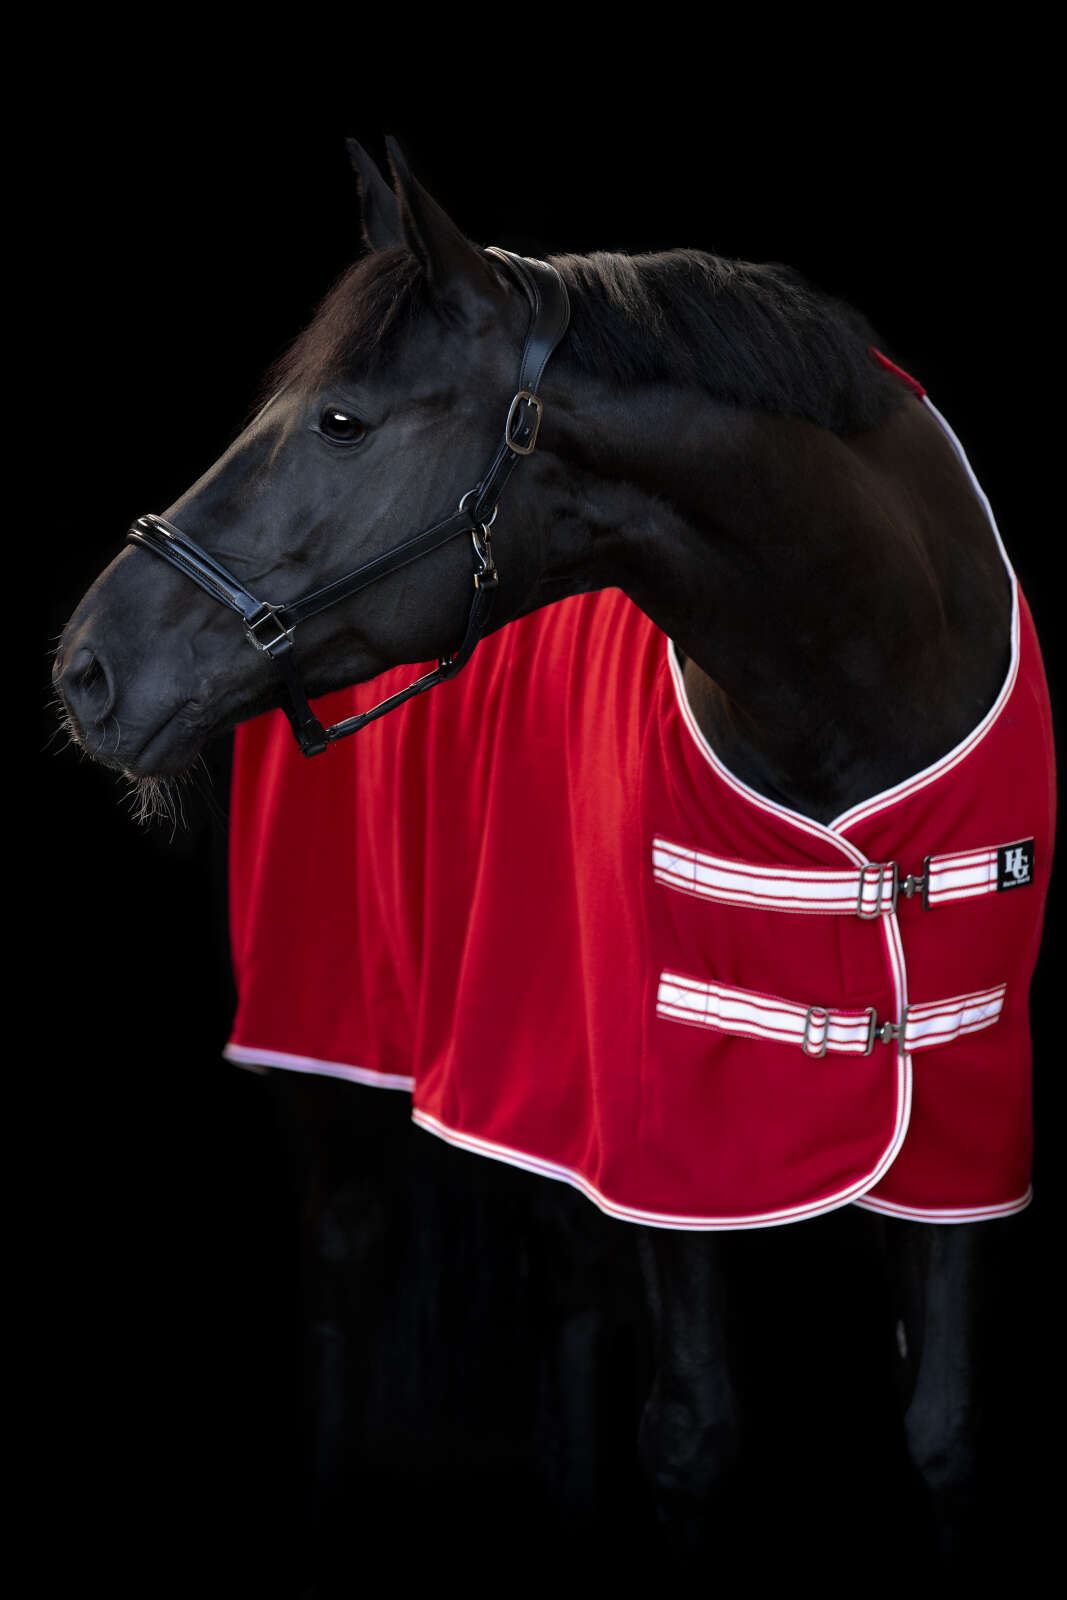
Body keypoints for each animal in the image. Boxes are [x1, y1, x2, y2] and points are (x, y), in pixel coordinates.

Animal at [54, 136, 1054, 1581]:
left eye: (341, 420)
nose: (87, 666)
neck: (864, 672)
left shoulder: (957, 1109)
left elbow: (942, 1428)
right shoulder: (656, 1129)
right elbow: (690, 1429)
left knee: (559, 1293)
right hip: (333, 1053)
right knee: (343, 1271)